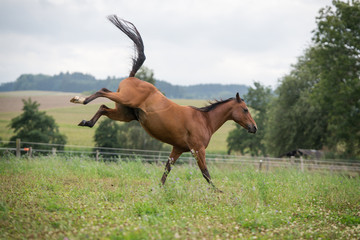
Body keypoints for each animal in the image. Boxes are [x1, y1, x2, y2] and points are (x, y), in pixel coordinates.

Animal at [70, 15, 256, 191]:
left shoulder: (178, 148)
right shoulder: (198, 150)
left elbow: (167, 169)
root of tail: (132, 77)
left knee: (102, 108)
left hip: (124, 114)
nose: (254, 128)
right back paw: (79, 99)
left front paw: (158, 189)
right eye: (245, 109)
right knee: (103, 91)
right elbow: (205, 173)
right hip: (124, 99)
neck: (205, 120)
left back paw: (86, 122)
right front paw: (218, 192)